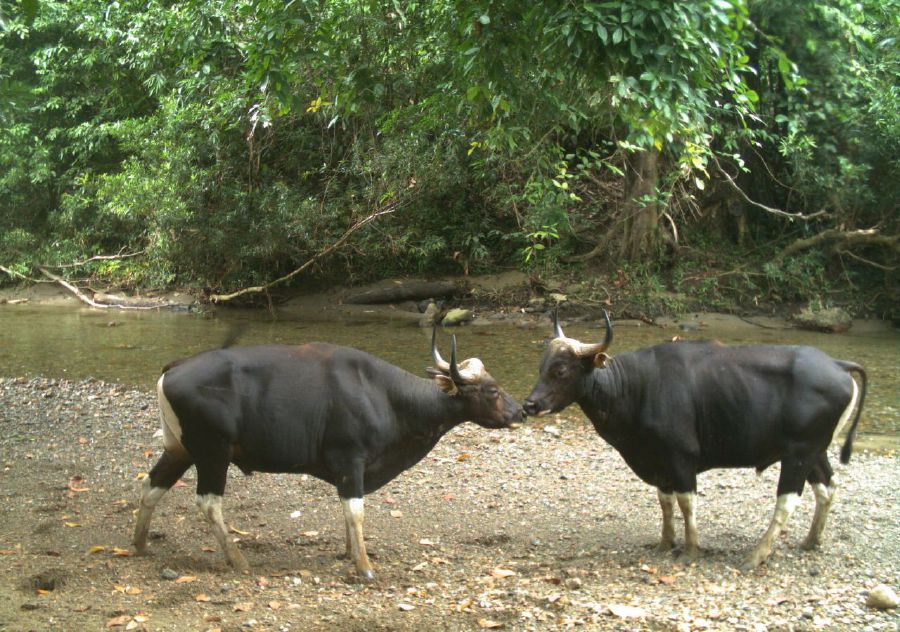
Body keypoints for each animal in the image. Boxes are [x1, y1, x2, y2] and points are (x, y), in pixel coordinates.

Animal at [135, 334, 528, 580]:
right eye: (492, 390)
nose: (521, 412)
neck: (384, 396)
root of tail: (174, 367)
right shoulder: (350, 460)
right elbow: (355, 511)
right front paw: (364, 566)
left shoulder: (351, 469)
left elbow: (347, 513)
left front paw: (349, 551)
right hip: (212, 451)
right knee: (208, 502)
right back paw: (238, 559)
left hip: (180, 449)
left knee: (151, 486)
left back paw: (139, 545)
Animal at [524, 314, 868, 572]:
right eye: (541, 367)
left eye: (561, 370)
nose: (530, 404)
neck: (636, 388)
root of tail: (838, 364)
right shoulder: (657, 460)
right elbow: (665, 502)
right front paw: (665, 542)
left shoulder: (681, 457)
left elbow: (686, 502)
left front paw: (690, 549)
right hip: (815, 451)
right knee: (827, 487)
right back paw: (812, 541)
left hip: (799, 452)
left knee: (787, 500)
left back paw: (757, 555)